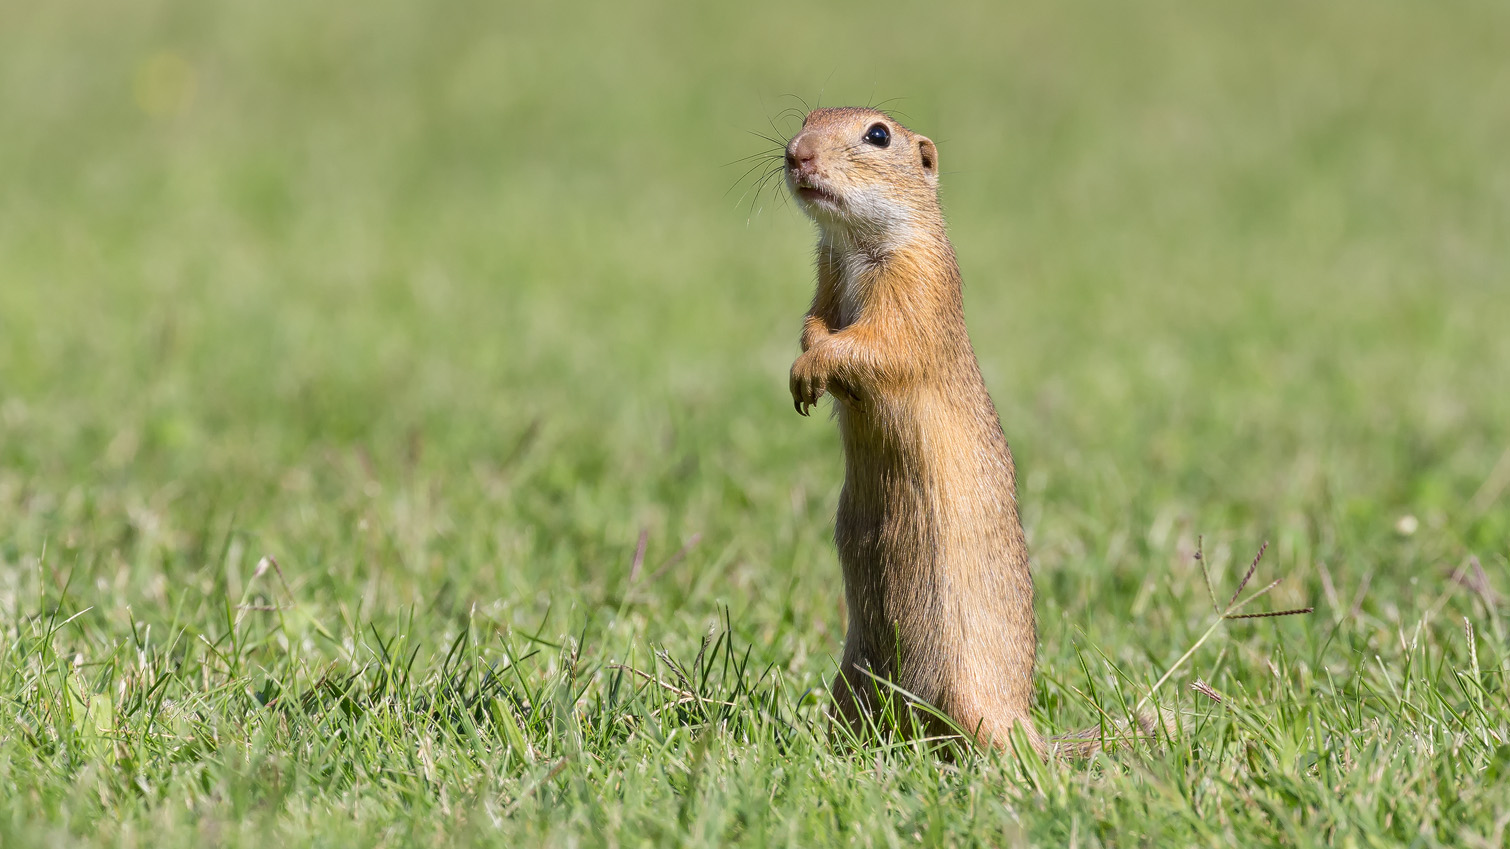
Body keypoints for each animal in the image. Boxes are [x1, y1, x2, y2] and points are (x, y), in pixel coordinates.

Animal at [785, 107, 1044, 752]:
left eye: (878, 134)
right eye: (805, 118)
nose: (796, 154)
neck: (855, 249)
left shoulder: (916, 283)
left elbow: (878, 345)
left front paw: (812, 371)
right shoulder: (826, 275)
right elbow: (814, 321)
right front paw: (803, 376)